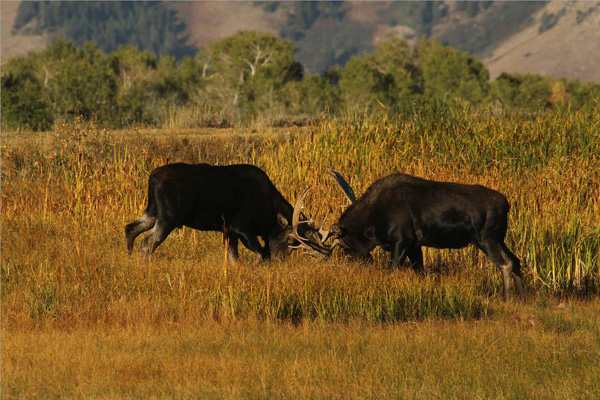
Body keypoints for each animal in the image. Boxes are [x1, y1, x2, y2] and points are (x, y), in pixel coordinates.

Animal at [123, 163, 326, 260]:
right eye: (290, 239)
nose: (280, 259)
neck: (266, 216)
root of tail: (151, 178)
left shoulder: (228, 231)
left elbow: (234, 257)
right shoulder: (240, 227)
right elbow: (261, 254)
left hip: (153, 211)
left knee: (130, 228)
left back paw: (130, 256)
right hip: (169, 217)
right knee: (148, 241)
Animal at [314, 169, 524, 300]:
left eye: (344, 245)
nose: (359, 265)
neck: (372, 224)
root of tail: (506, 204)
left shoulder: (402, 240)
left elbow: (393, 270)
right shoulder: (415, 245)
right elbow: (420, 271)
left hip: (486, 238)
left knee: (506, 264)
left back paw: (506, 298)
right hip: (499, 239)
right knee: (516, 260)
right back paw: (521, 297)